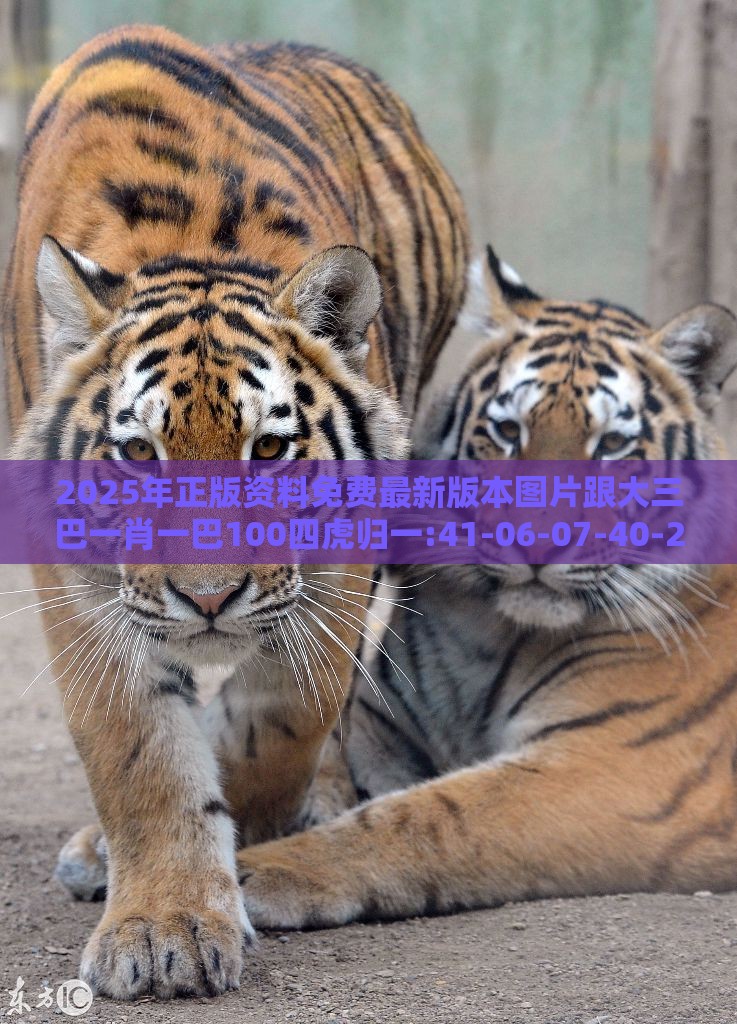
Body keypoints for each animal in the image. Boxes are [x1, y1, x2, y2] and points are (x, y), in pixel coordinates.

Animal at [2, 25, 468, 999]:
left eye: (269, 449)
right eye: (140, 454)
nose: (210, 599)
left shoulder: (336, 564)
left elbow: (282, 724)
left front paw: (244, 856)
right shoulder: (76, 581)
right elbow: (138, 751)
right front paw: (163, 927)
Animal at [227, 245, 737, 930]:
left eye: (612, 445)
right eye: (508, 432)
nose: (537, 541)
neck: (491, 631)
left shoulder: (613, 765)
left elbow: (428, 816)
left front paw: (264, 870)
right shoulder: (383, 728)